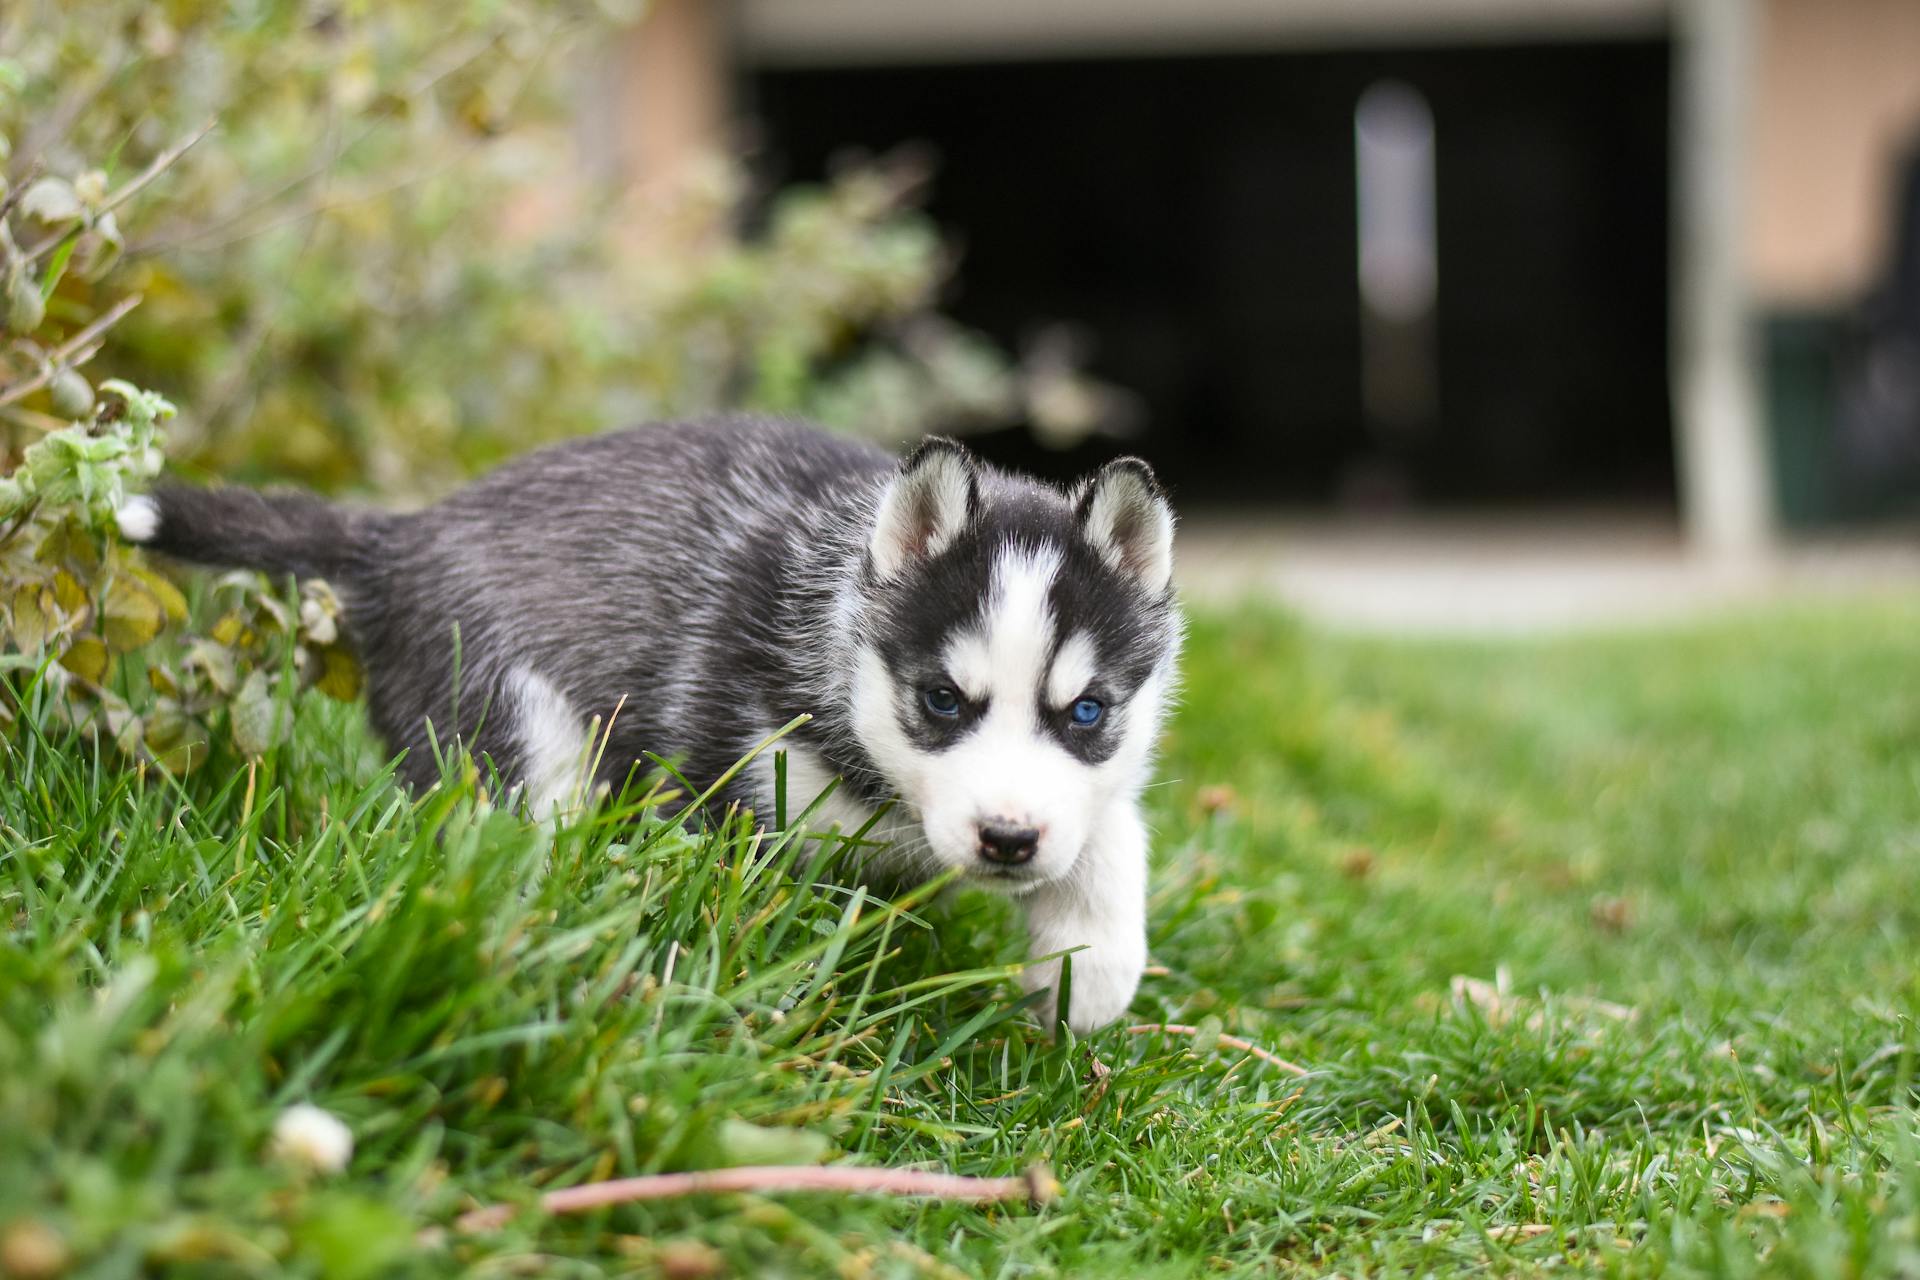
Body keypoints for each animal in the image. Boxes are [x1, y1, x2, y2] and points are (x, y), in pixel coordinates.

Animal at [120, 416, 1175, 1036]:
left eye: (1086, 711)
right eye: (943, 702)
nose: (1007, 840)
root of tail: (402, 535)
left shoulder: (1094, 786)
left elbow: (1112, 835)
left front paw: (1089, 975)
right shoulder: (723, 776)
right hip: (512, 726)